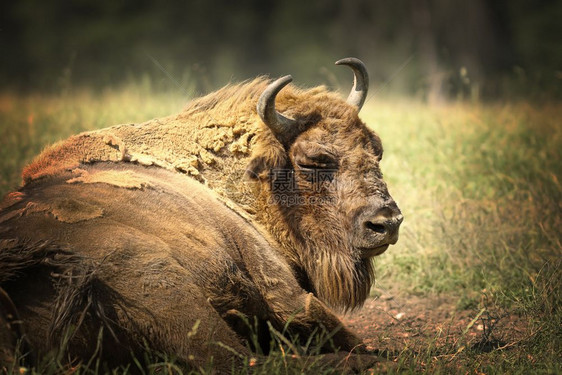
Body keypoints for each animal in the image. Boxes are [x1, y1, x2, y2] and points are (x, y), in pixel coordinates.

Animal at [1, 58, 402, 374]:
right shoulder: (283, 291)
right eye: (313, 161)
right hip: (162, 282)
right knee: (239, 362)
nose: (386, 223)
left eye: (376, 150)